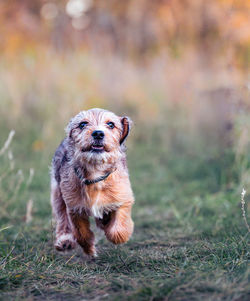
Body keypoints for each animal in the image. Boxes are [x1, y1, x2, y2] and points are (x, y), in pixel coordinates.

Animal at [50, 108, 135, 255]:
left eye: (111, 124)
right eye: (83, 124)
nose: (98, 133)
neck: (95, 172)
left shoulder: (123, 199)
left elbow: (118, 230)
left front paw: (112, 231)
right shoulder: (74, 208)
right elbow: (81, 234)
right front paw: (89, 249)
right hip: (57, 195)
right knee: (62, 218)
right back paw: (65, 240)